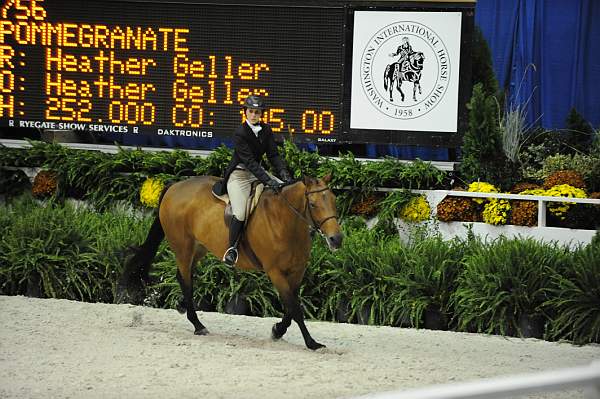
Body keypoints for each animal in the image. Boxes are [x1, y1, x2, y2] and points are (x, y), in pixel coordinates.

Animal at [117, 175, 342, 350]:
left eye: (333, 200)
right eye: (313, 204)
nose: (336, 239)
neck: (286, 221)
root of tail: (174, 186)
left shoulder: (297, 272)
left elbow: (291, 307)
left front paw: (277, 330)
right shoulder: (275, 272)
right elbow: (295, 308)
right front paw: (311, 343)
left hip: (199, 248)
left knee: (183, 277)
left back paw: (183, 308)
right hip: (183, 248)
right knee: (186, 280)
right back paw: (198, 325)